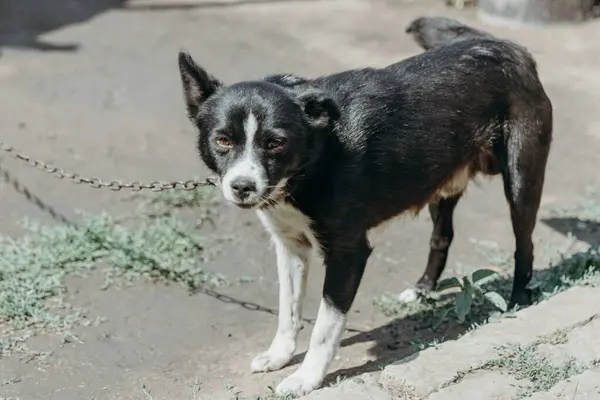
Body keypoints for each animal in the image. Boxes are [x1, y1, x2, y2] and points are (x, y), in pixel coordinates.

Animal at [178, 17, 552, 396]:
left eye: (275, 143)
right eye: (223, 140)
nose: (242, 187)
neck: (314, 158)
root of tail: (506, 46)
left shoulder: (349, 253)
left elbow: (324, 328)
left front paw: (306, 378)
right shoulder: (290, 246)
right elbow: (289, 310)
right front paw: (279, 355)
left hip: (521, 179)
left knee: (525, 244)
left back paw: (519, 300)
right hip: (439, 182)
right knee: (442, 236)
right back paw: (422, 289)